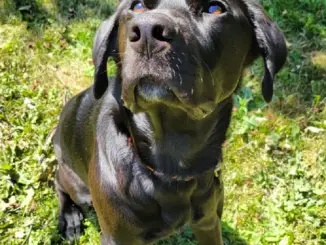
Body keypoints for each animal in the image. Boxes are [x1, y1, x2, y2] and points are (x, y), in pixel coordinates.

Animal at [54, 0, 288, 244]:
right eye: (138, 6)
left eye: (214, 8)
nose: (147, 32)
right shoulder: (117, 237)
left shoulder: (209, 221)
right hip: (78, 187)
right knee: (59, 180)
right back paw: (70, 217)